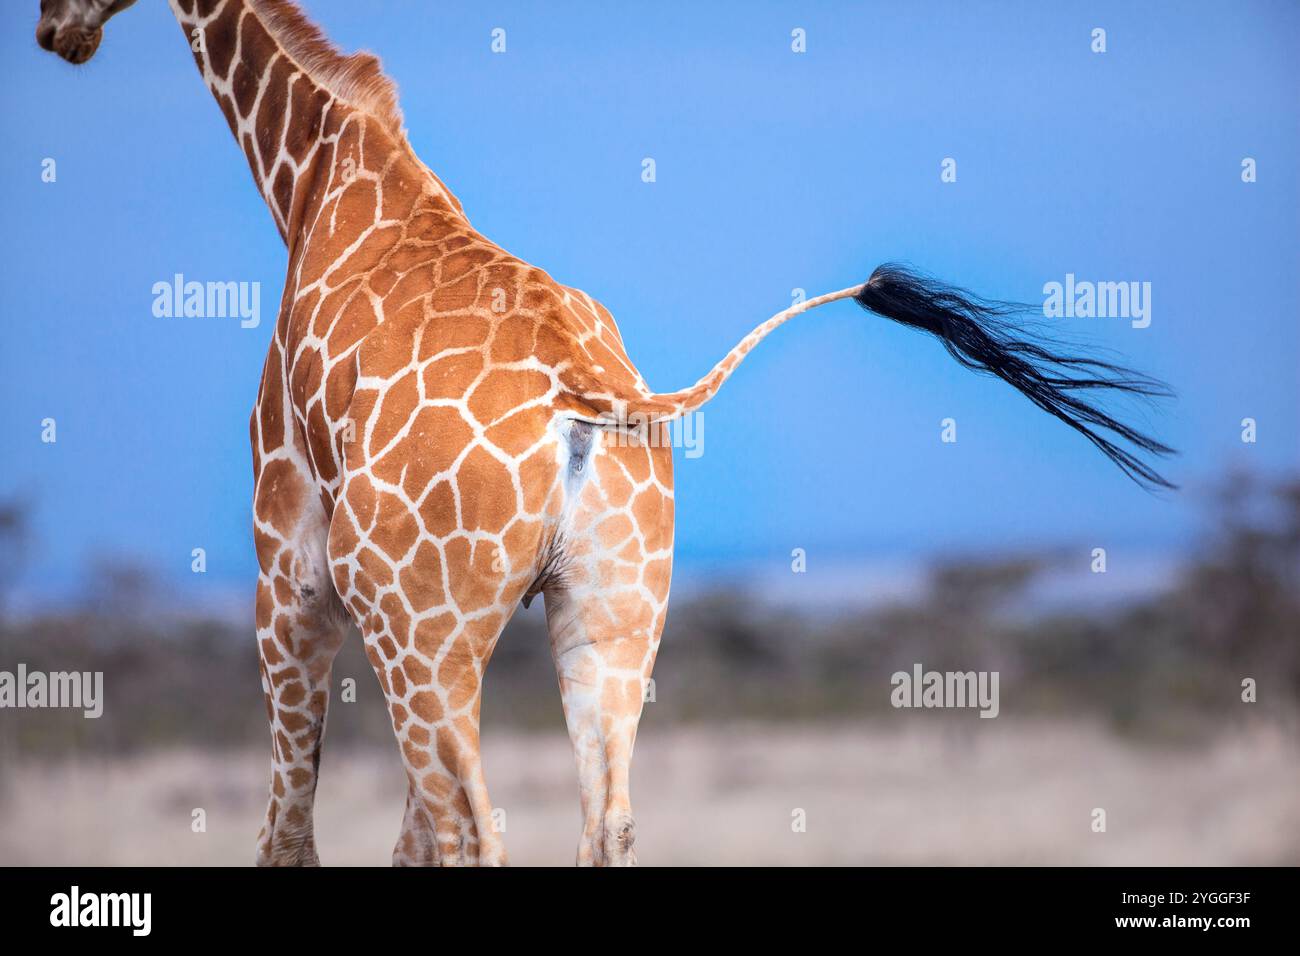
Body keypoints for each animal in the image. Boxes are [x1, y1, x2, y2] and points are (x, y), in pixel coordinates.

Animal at [36, 0, 1174, 866]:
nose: (56, 30)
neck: (317, 174)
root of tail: (583, 392)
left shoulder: (289, 555)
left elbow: (291, 829)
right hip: (605, 611)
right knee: (603, 820)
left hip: (417, 620)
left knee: (476, 829)